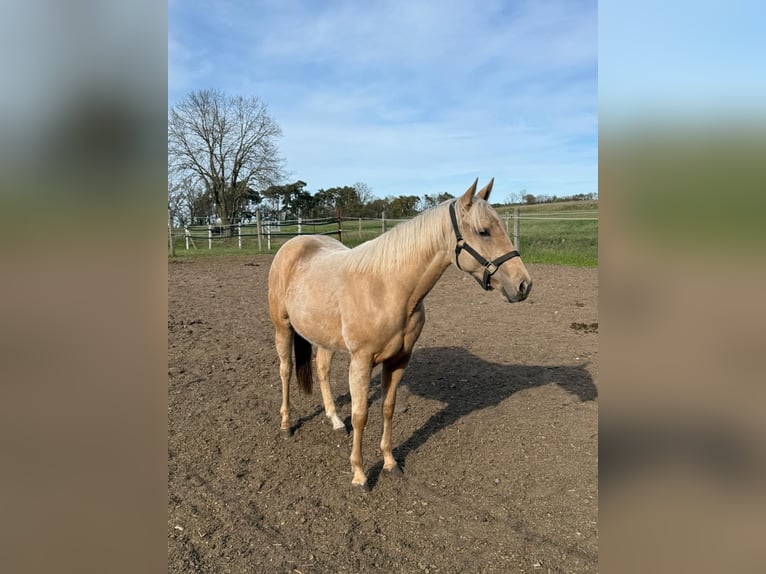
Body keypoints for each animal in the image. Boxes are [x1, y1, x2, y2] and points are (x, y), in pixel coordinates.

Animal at [267, 178, 532, 491]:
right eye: (484, 231)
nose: (523, 285)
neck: (388, 287)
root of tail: (294, 244)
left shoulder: (399, 359)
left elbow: (387, 408)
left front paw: (390, 463)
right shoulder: (361, 361)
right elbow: (360, 416)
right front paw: (359, 475)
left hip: (323, 336)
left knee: (321, 370)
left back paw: (335, 421)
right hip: (282, 327)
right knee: (285, 370)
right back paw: (286, 425)